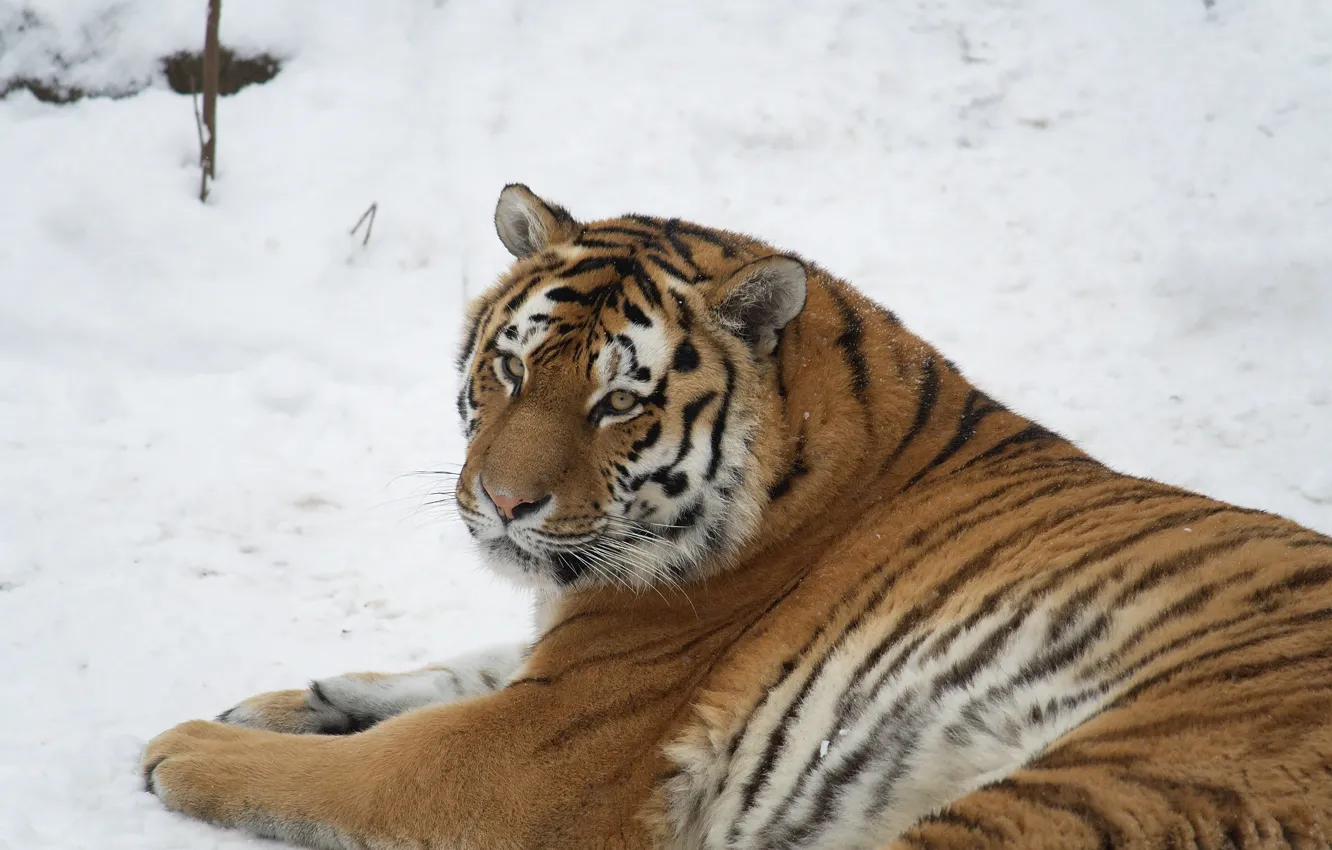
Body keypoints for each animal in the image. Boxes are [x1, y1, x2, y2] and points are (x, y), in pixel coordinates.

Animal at [143, 185, 1332, 850]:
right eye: (512, 369)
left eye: (618, 402)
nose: (504, 501)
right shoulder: (557, 661)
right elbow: (451, 668)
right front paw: (294, 699)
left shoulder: (538, 745)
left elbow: (372, 763)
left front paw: (188, 742)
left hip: (1104, 781)